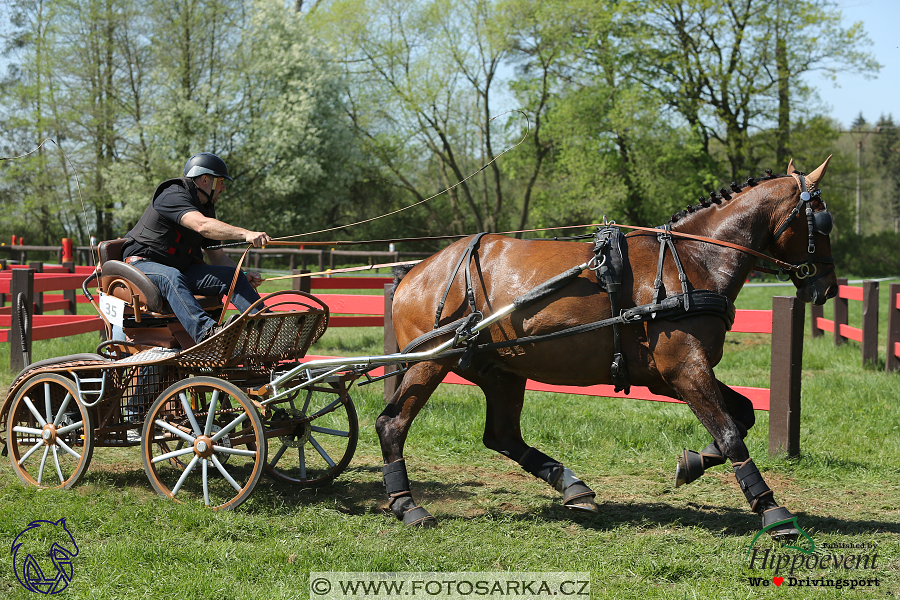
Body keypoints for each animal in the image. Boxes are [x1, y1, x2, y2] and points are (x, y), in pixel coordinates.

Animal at [378, 156, 836, 540]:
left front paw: (693, 463)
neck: (694, 259)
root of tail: (414, 273)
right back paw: (407, 505)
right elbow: (729, 433)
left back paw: (572, 487)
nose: (827, 287)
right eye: (824, 221)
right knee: (392, 424)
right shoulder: (685, 368)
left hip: (500, 370)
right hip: (431, 362)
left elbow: (742, 415)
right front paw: (773, 512)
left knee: (502, 435)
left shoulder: (669, 376)